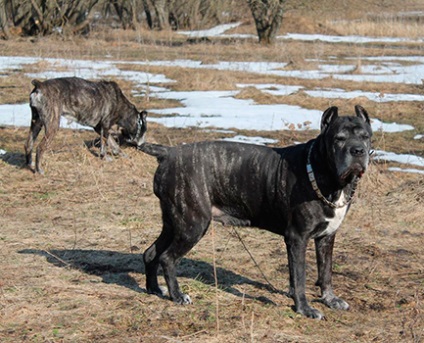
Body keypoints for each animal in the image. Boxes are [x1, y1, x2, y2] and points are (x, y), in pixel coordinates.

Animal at [138, 105, 372, 320]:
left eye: (366, 137)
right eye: (339, 139)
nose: (358, 150)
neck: (330, 179)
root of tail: (168, 153)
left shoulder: (326, 237)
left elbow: (326, 271)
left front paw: (330, 299)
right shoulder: (297, 238)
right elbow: (299, 277)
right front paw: (304, 309)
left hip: (174, 222)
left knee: (151, 253)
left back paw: (154, 289)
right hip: (192, 225)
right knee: (167, 258)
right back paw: (177, 296)